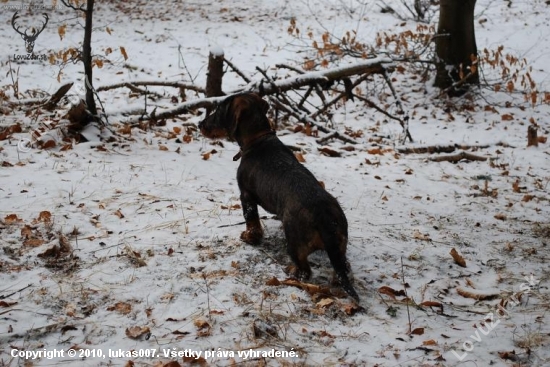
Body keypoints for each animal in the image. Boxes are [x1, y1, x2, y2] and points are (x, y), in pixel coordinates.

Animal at [201, 92, 360, 302]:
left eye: (219, 110)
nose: (200, 124)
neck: (257, 139)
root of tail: (325, 218)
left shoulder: (246, 195)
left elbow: (251, 220)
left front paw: (250, 237)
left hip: (294, 244)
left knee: (305, 271)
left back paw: (292, 272)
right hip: (340, 246)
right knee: (344, 269)